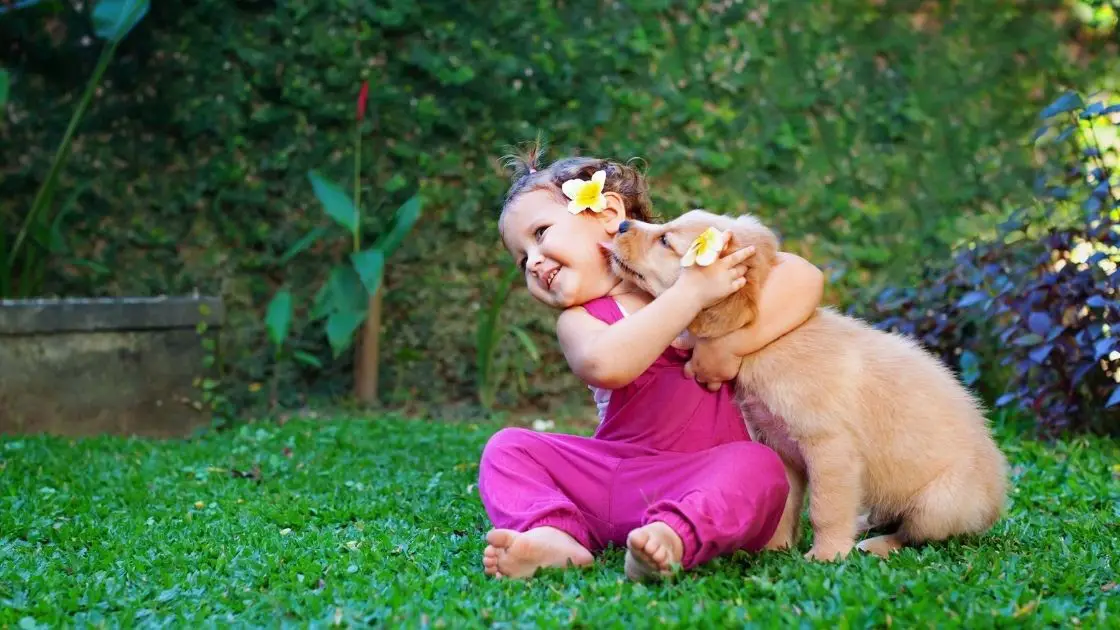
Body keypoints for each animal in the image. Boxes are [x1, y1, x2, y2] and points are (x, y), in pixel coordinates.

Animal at [609, 210, 1012, 558]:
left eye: (665, 240)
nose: (623, 224)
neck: (771, 341)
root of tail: (995, 502)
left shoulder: (830, 446)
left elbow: (825, 508)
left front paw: (826, 555)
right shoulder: (779, 444)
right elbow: (786, 501)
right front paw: (775, 548)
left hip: (937, 504)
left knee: (912, 533)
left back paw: (875, 544)